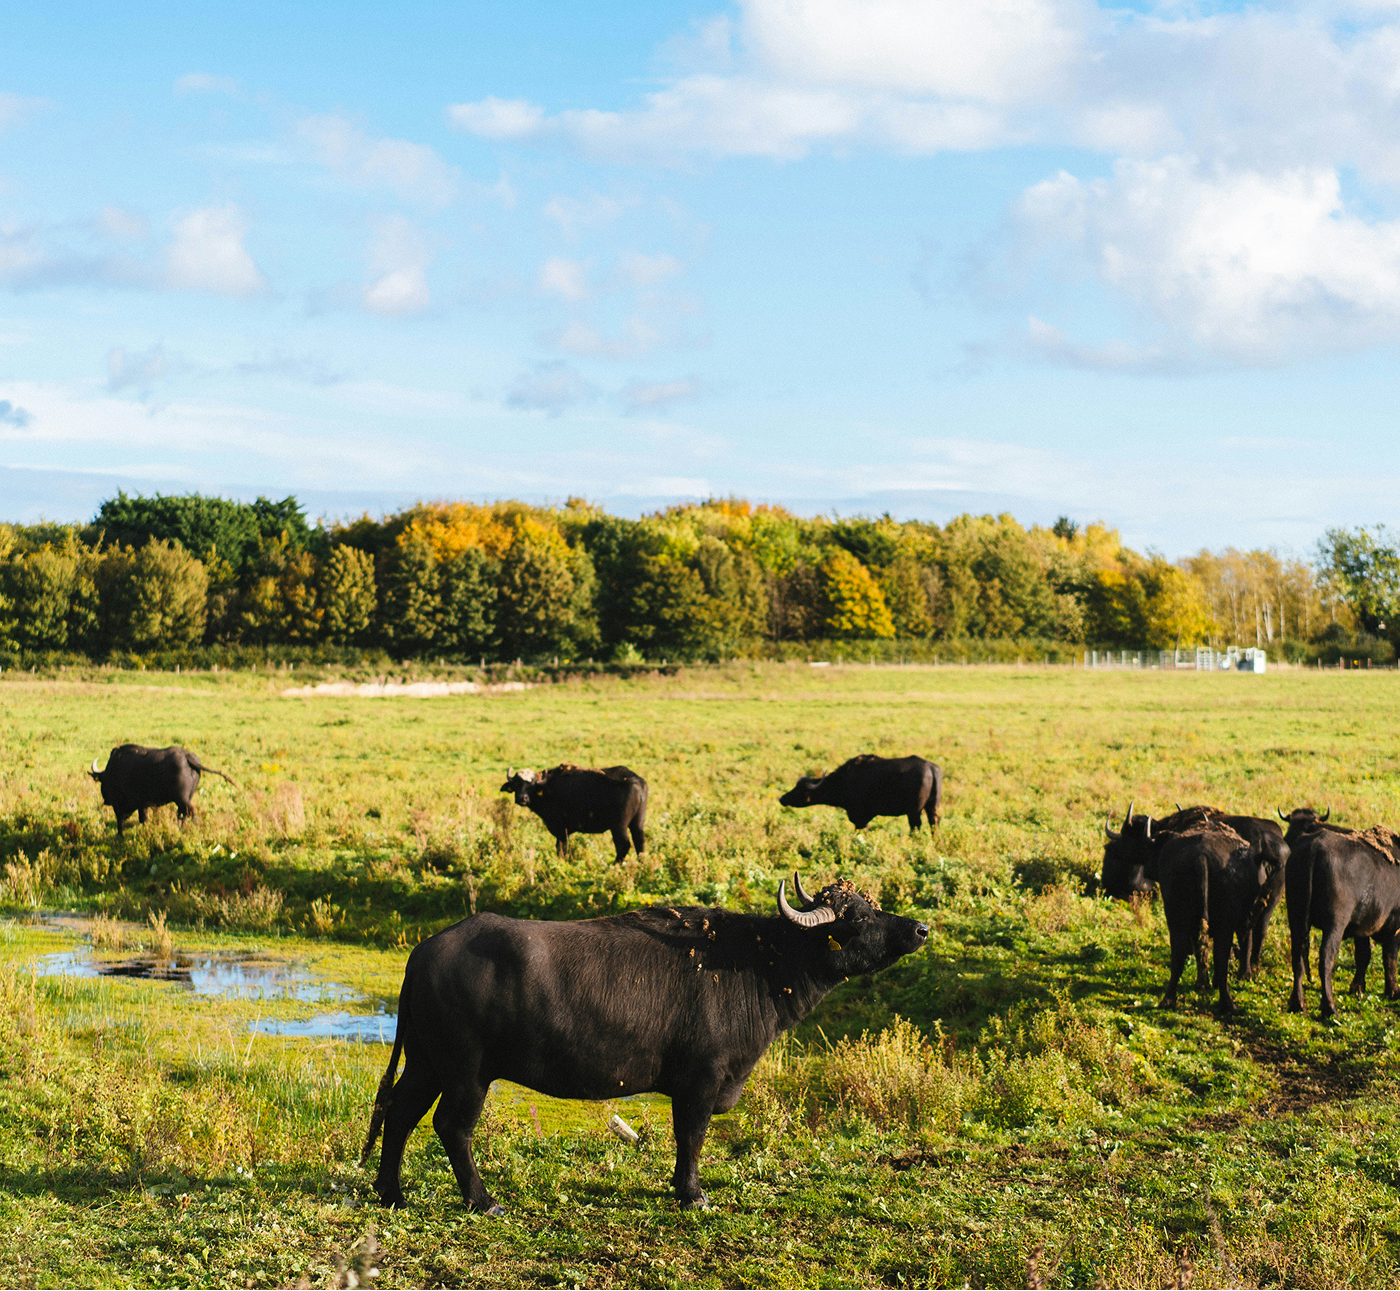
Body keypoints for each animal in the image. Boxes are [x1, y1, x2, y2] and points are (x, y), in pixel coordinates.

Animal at [88, 744, 237, 835]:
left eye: (103, 781)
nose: (105, 800)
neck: (112, 770)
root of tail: (187, 757)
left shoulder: (121, 806)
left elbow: (123, 822)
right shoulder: (143, 805)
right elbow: (143, 819)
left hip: (182, 799)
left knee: (191, 812)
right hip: (184, 799)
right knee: (181, 815)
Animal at [361, 873, 928, 1212]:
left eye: (874, 905)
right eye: (858, 916)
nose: (920, 927)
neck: (758, 964)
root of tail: (425, 950)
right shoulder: (700, 1079)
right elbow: (691, 1137)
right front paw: (692, 1194)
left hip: (427, 1062)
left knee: (400, 1113)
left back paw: (391, 1192)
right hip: (467, 1070)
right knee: (450, 1126)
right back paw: (483, 1200)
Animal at [500, 764, 647, 863]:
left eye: (531, 785)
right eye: (517, 784)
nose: (522, 798)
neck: (549, 788)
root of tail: (637, 782)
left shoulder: (561, 830)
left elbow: (561, 847)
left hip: (619, 827)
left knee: (624, 845)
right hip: (637, 823)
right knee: (639, 841)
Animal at [779, 755, 942, 833]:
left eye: (799, 789)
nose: (782, 798)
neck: (845, 780)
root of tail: (930, 767)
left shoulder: (859, 818)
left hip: (914, 811)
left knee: (916, 826)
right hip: (932, 806)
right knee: (934, 823)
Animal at [1281, 807, 1400, 1017]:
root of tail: (1315, 846)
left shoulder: (1362, 928)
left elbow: (1363, 956)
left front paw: (1357, 988)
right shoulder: (1393, 925)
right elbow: (1390, 958)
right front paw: (1392, 991)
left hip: (1296, 917)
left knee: (1298, 957)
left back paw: (1297, 1003)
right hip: (1335, 923)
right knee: (1326, 958)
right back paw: (1329, 1006)